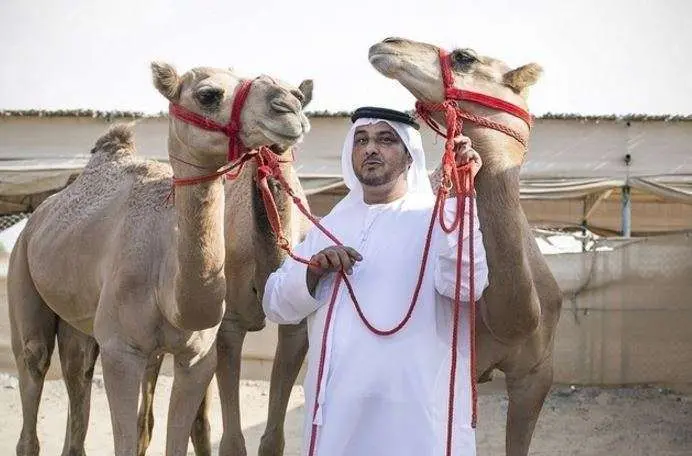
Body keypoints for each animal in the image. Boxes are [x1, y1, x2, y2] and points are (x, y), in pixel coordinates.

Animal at [7, 61, 310, 456]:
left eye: (299, 95)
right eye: (208, 94)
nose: (288, 107)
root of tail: (37, 217)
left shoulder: (197, 357)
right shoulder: (121, 351)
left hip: (80, 319)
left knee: (79, 368)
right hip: (22, 267)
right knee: (35, 360)